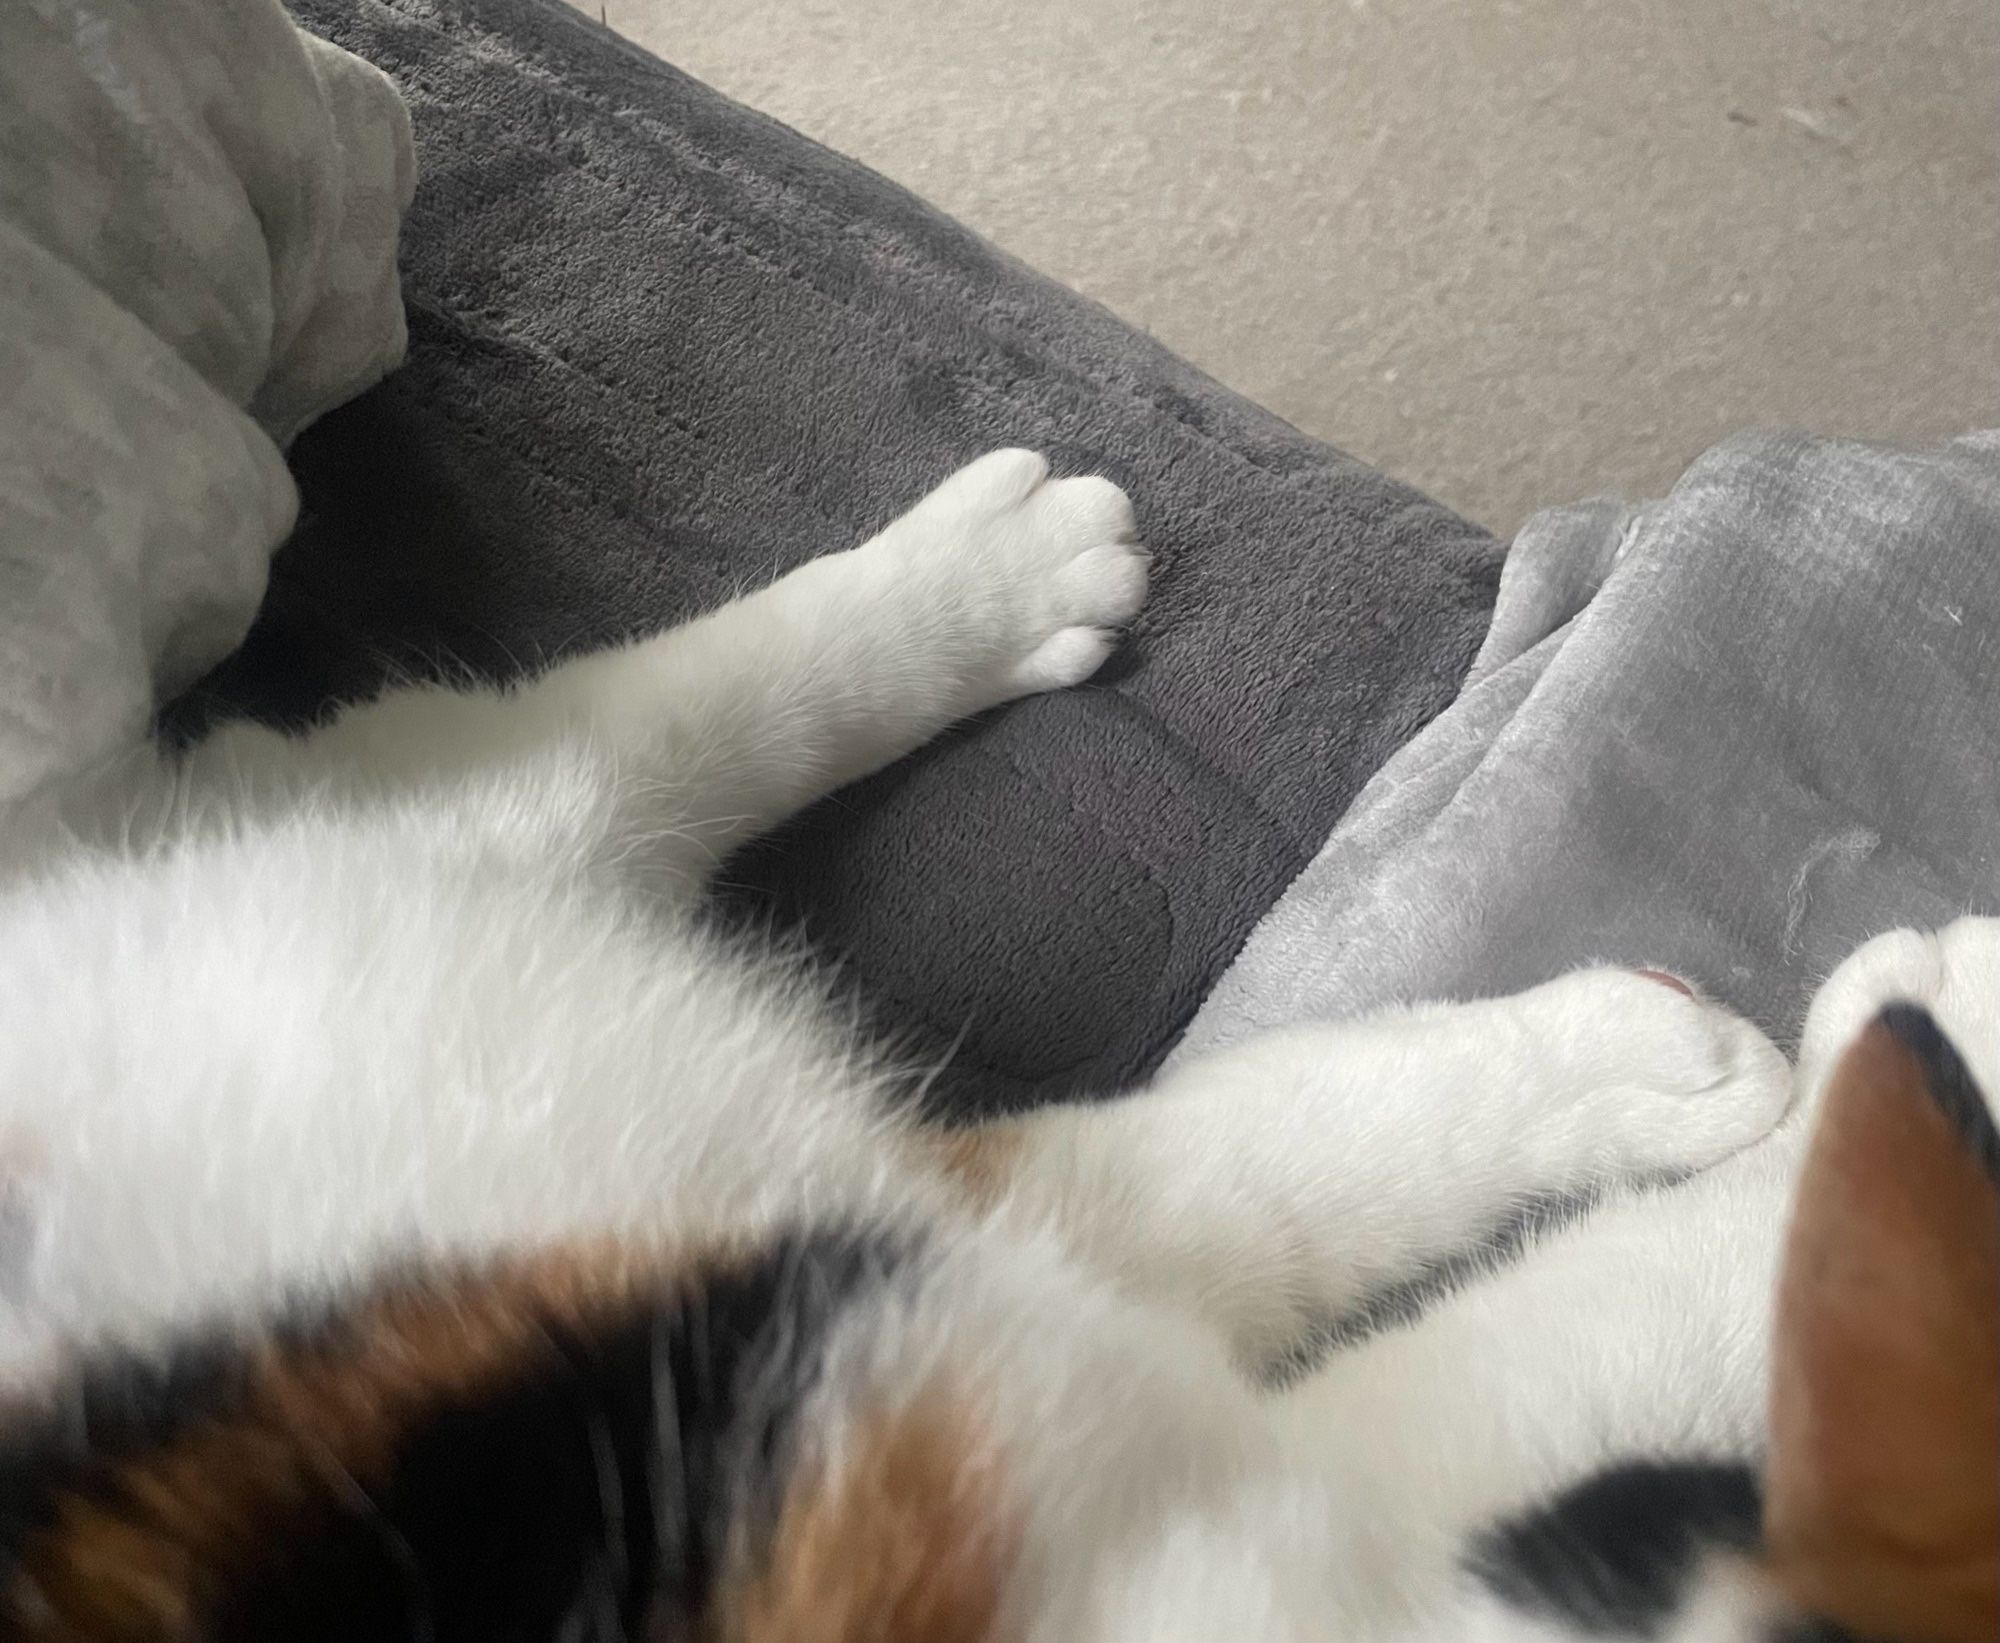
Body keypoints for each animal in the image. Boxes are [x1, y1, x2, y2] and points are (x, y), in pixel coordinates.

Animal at [0, 449, 1992, 1643]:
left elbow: (1266, 1167)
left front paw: (1633, 1065)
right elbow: (1654, 1314)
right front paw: (1937, 1056)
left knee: (635, 737)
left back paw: (993, 569)